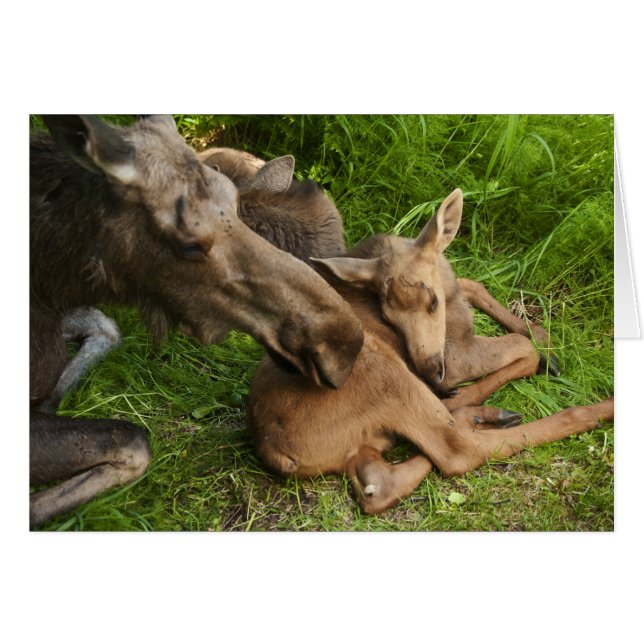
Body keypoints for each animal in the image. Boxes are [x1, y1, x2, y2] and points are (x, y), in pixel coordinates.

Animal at [248, 188, 614, 514]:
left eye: (432, 302)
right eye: (388, 317)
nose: (427, 368)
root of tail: (273, 451)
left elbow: (472, 283)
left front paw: (538, 331)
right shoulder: (454, 357)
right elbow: (523, 349)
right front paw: (544, 353)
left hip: (362, 442)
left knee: (378, 487)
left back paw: (479, 414)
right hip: (383, 371)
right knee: (458, 451)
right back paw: (594, 409)